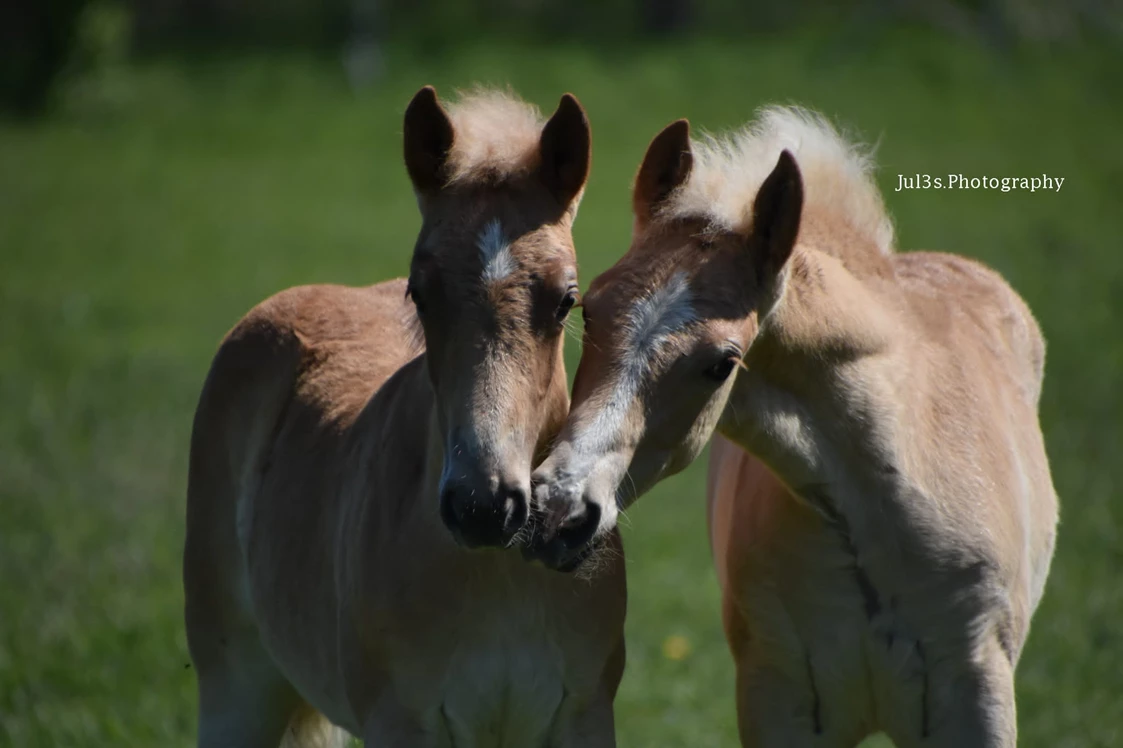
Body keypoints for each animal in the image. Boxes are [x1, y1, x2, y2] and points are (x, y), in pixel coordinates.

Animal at [183, 87, 624, 745]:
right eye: (420, 292)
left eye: (567, 301)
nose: (484, 507)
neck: (497, 578)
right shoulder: (398, 721)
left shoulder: (584, 716)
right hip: (232, 689)